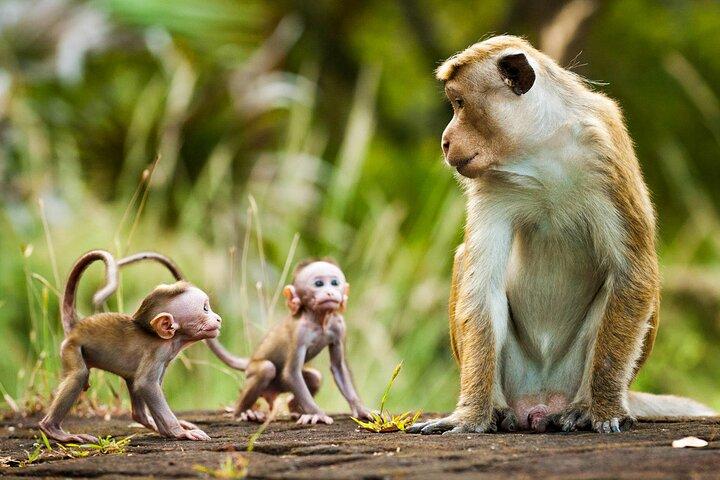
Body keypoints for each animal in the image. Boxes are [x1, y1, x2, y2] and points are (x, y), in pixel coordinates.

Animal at [39, 250, 222, 443]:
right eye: (205, 309)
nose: (218, 318)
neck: (172, 340)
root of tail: (76, 327)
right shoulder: (158, 352)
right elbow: (146, 384)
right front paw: (179, 432)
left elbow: (145, 384)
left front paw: (167, 430)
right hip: (72, 347)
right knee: (79, 375)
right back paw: (53, 429)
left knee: (131, 383)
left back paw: (146, 420)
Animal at [408, 35, 715, 435]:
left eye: (459, 103)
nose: (445, 142)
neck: (540, 148)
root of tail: (540, 403)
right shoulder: (491, 183)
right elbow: (482, 285)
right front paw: (471, 416)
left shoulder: (604, 149)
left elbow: (633, 272)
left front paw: (603, 409)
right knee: (466, 263)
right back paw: (499, 410)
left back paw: (584, 406)